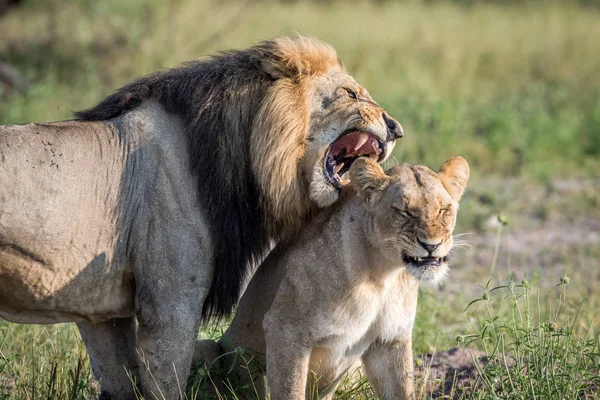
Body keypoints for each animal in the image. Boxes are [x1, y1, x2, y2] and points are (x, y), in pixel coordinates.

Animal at [1, 36, 404, 396]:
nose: (396, 128)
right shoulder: (170, 300)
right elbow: (166, 384)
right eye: (350, 93)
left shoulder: (102, 309)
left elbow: (120, 381)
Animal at [195, 156, 472, 400]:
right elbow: (290, 391)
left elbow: (402, 391)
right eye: (405, 211)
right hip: (207, 348)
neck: (383, 275)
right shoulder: (284, 329)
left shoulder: (390, 340)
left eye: (443, 209)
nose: (431, 245)